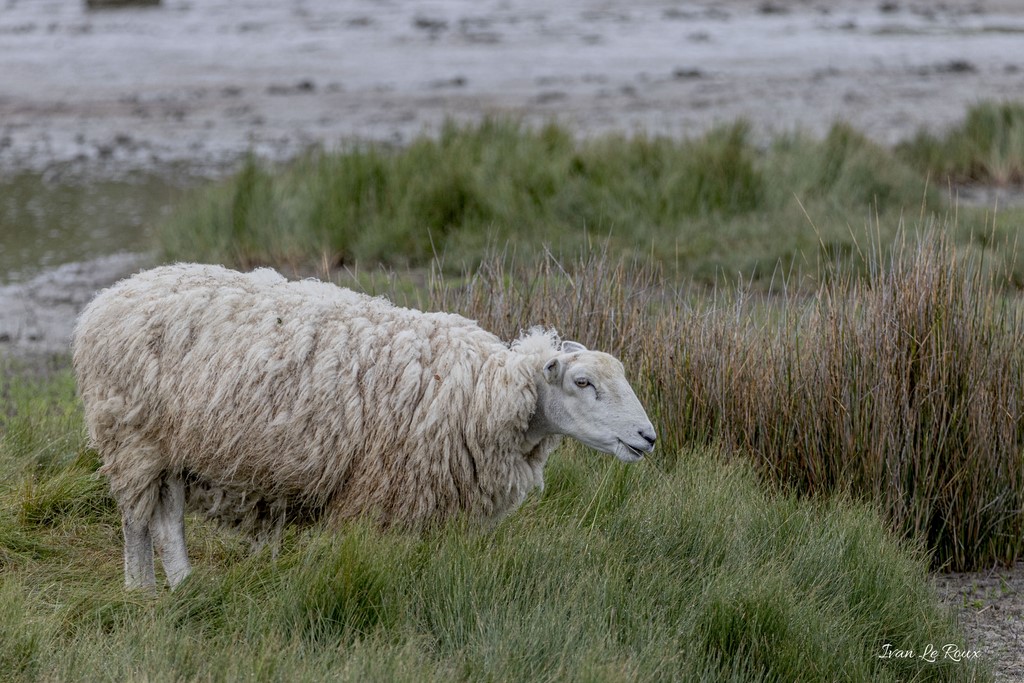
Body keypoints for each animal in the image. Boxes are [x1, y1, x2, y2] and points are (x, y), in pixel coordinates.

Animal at [72, 263, 657, 589]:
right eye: (583, 382)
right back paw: (142, 590)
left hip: (171, 446)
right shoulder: (384, 493)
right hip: (132, 435)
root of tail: (107, 298)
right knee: (138, 521)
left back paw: (182, 586)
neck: (484, 392)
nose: (648, 437)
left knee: (166, 518)